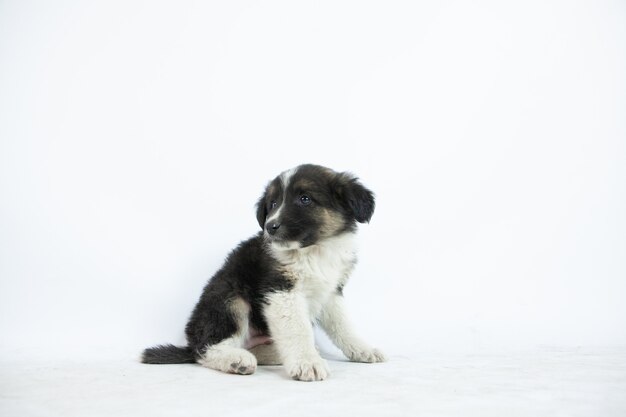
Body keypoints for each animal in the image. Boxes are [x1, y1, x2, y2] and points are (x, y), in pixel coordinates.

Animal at [142, 162, 386, 380]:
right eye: (274, 202)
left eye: (305, 199)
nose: (270, 227)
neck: (315, 250)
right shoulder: (281, 290)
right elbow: (298, 330)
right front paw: (307, 362)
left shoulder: (331, 291)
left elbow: (343, 326)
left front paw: (363, 350)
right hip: (230, 299)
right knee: (205, 349)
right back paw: (236, 360)